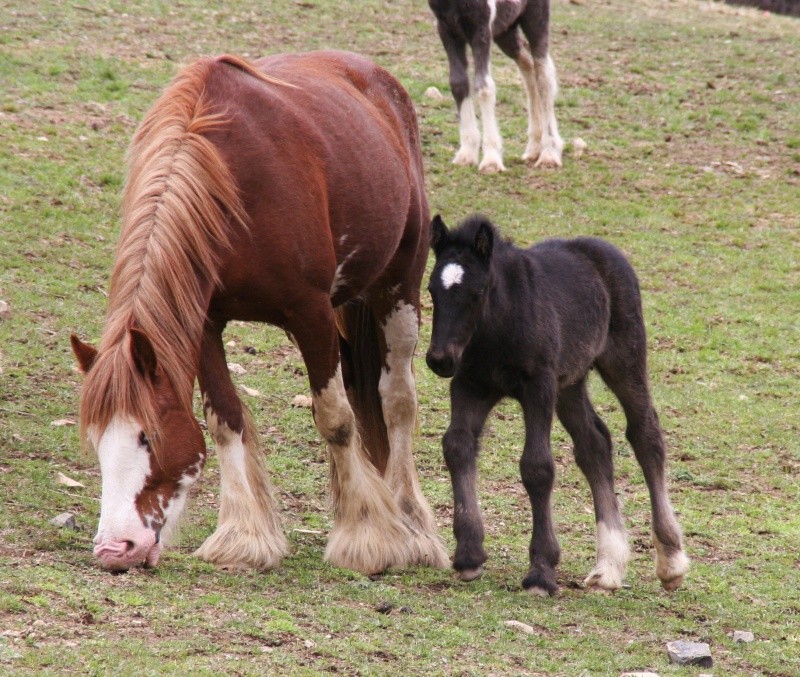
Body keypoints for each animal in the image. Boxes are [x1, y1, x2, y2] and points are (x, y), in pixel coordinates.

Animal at [69, 50, 450, 572]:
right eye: (96, 441)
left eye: (148, 435)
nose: (114, 549)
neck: (231, 186)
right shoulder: (205, 321)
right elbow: (224, 421)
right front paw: (244, 536)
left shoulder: (310, 312)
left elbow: (335, 418)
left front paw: (366, 536)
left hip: (399, 286)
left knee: (396, 401)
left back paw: (411, 522)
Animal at [424, 214, 688, 596]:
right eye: (432, 290)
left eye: (477, 293)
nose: (439, 359)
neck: (498, 327)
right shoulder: (470, 385)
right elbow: (457, 446)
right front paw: (469, 554)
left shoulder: (539, 387)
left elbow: (537, 466)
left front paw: (541, 570)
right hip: (571, 383)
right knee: (594, 443)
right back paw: (608, 566)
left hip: (623, 359)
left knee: (645, 434)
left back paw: (670, 561)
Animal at [428, 0, 564, 173]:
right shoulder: (447, 30)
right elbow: (458, 83)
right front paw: (466, 154)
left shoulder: (482, 30)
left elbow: (484, 87)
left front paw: (491, 160)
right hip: (506, 32)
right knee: (528, 66)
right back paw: (534, 148)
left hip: (535, 21)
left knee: (543, 77)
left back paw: (549, 154)